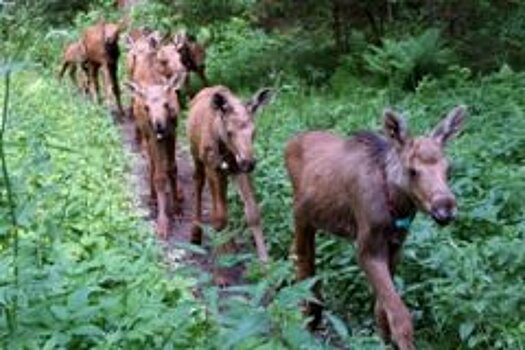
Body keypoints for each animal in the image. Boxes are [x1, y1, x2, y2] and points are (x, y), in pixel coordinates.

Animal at [185, 85, 272, 270]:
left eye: (254, 132)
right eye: (230, 132)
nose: (250, 162)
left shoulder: (239, 170)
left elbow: (253, 212)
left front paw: (265, 262)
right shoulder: (213, 168)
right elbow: (218, 217)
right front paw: (220, 265)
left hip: (225, 172)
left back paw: (229, 244)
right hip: (197, 156)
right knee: (198, 184)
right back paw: (196, 234)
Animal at [286, 106, 466, 350]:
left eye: (449, 169)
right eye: (412, 170)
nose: (445, 208)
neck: (397, 207)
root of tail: (290, 142)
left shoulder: (396, 246)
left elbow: (382, 310)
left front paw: (382, 340)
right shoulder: (366, 248)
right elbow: (400, 317)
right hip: (301, 216)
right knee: (303, 261)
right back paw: (308, 318)